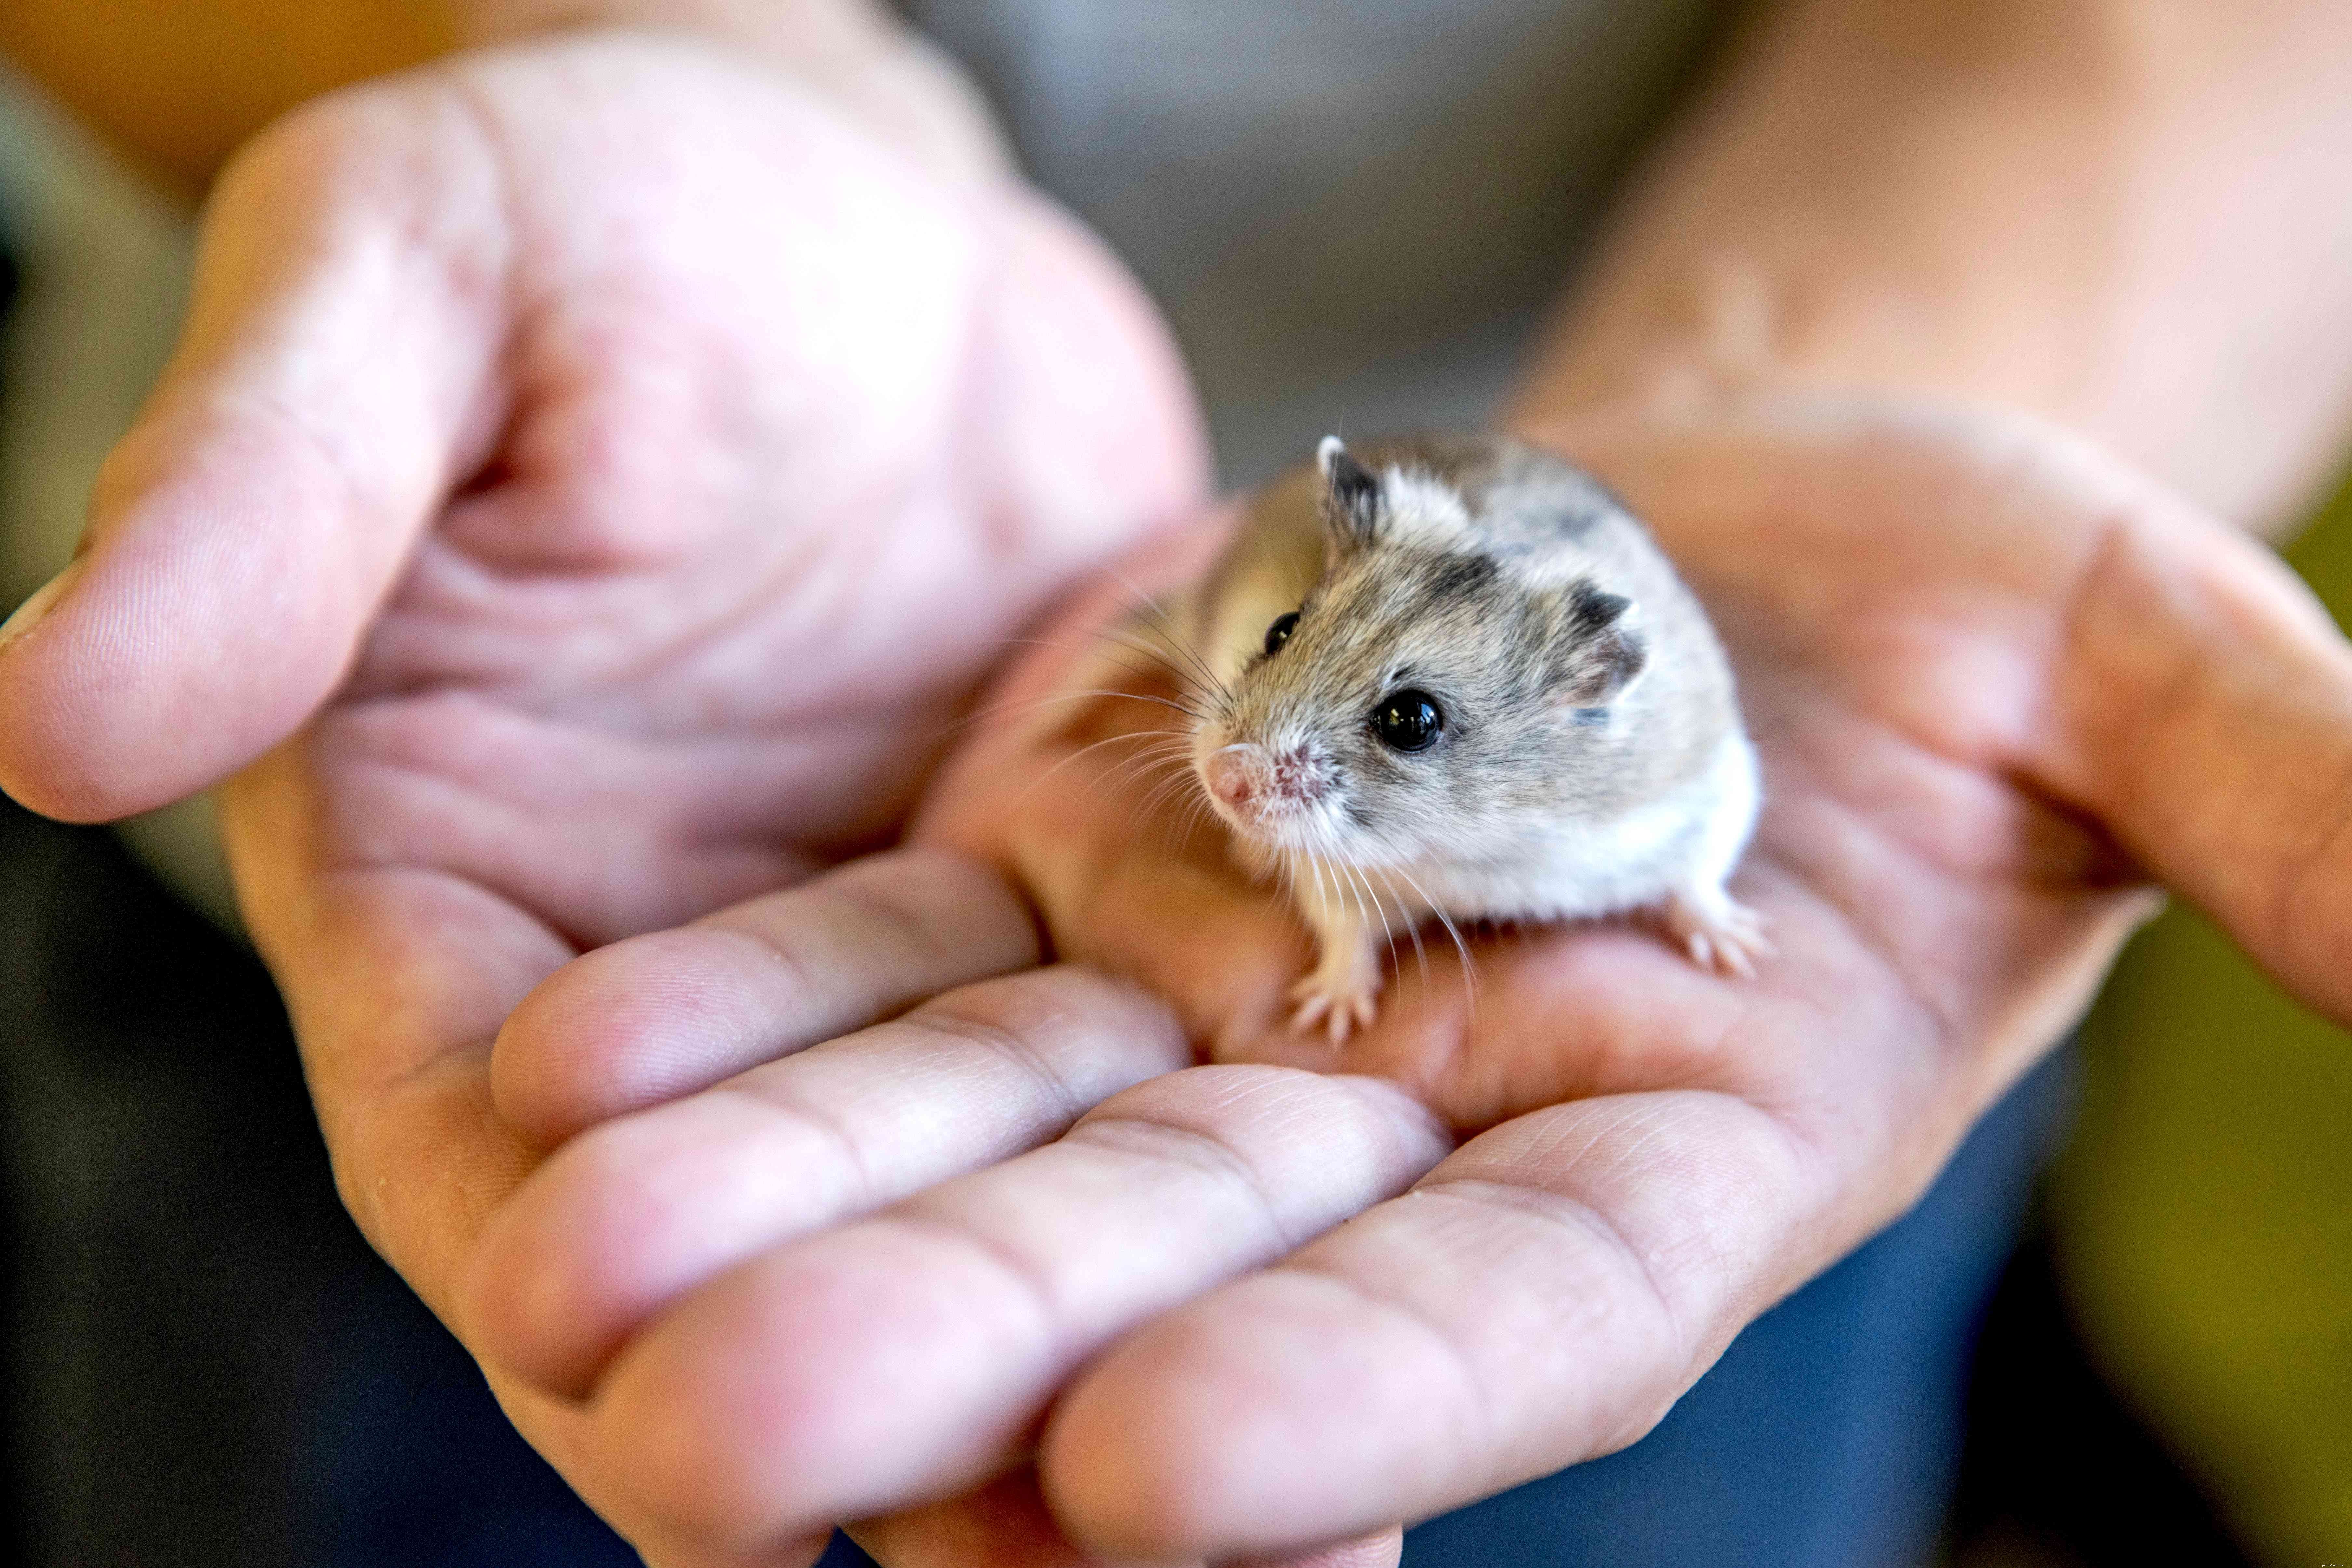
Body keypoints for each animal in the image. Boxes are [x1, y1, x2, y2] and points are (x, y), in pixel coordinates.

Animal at [1182, 433, 1766, 1041]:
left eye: (1412, 720)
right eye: (1280, 630)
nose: (1221, 779)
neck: (1483, 841)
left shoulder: (1708, 796)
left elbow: (1699, 881)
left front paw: (1741, 949)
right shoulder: (1334, 875)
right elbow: (1345, 932)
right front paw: (1328, 1017)